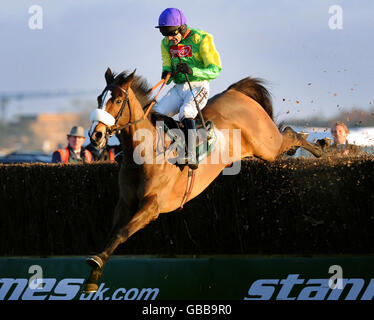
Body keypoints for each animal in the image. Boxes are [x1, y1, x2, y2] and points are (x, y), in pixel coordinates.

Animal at [84, 68, 322, 292]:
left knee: (291, 133)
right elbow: (112, 233)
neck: (146, 152)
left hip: (267, 145)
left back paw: (320, 147)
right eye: (99, 98)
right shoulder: (125, 203)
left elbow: (122, 232)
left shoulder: (153, 205)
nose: (96, 135)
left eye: (117, 100)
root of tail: (234, 92)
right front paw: (93, 276)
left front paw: (96, 262)